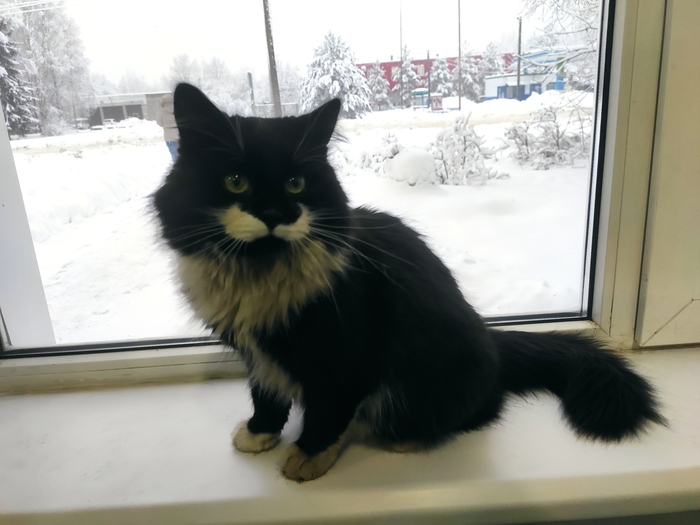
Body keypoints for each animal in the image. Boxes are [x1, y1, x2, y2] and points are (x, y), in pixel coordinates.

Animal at [153, 83, 664, 482]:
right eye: (236, 181)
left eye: (296, 184)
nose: (276, 214)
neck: (260, 274)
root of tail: (493, 342)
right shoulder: (259, 355)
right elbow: (268, 396)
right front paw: (260, 433)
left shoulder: (344, 356)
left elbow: (327, 413)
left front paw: (307, 458)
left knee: (481, 409)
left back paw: (406, 437)